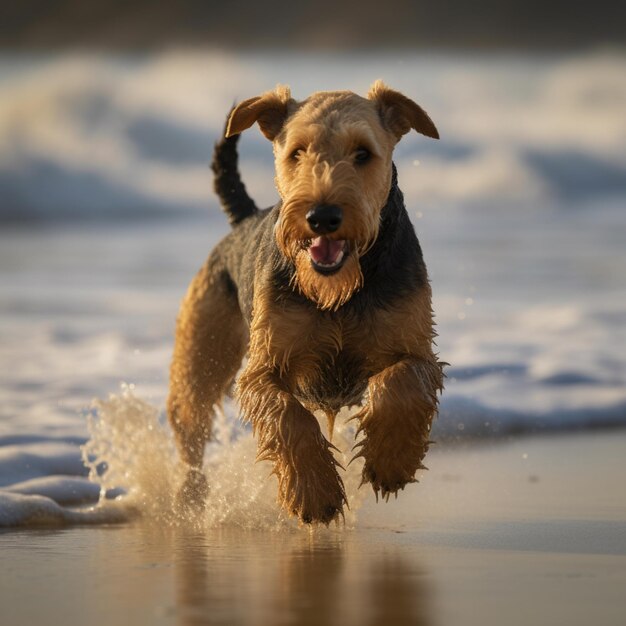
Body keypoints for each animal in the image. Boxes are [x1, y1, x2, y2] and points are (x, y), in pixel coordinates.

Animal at [168, 81, 444, 520]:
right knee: (191, 435)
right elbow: (287, 416)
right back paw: (189, 501)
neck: (339, 292)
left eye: (362, 153)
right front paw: (315, 492)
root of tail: (245, 218)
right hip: (200, 359)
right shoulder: (264, 368)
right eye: (297, 152)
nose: (322, 217)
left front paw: (390, 462)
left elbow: (400, 382)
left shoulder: (417, 350)